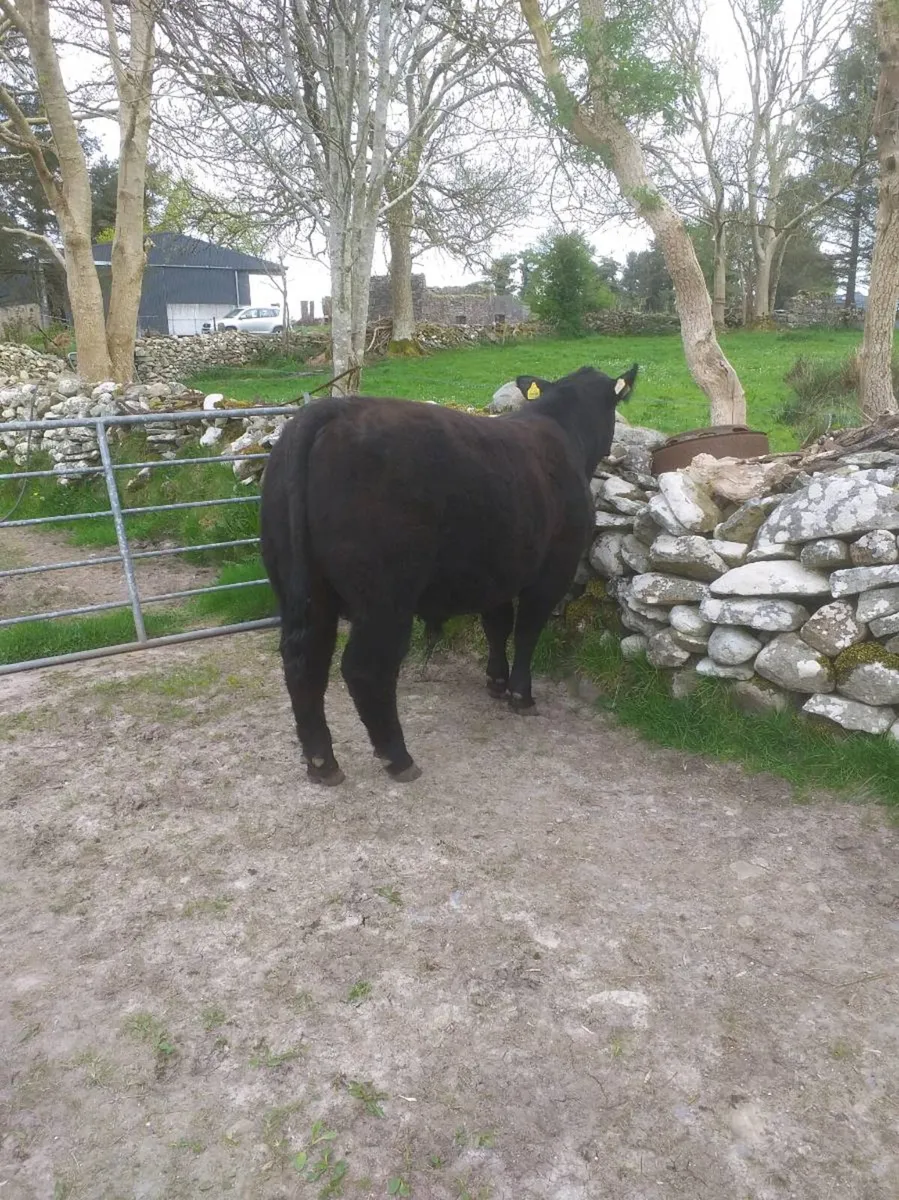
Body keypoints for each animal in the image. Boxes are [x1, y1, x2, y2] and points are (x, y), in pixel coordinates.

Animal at [260, 363, 638, 786]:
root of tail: (328, 412)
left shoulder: (497, 572)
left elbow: (497, 626)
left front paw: (496, 681)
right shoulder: (551, 572)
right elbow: (526, 632)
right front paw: (521, 695)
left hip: (303, 589)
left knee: (303, 662)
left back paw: (321, 762)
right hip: (385, 597)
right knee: (364, 668)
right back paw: (398, 757)